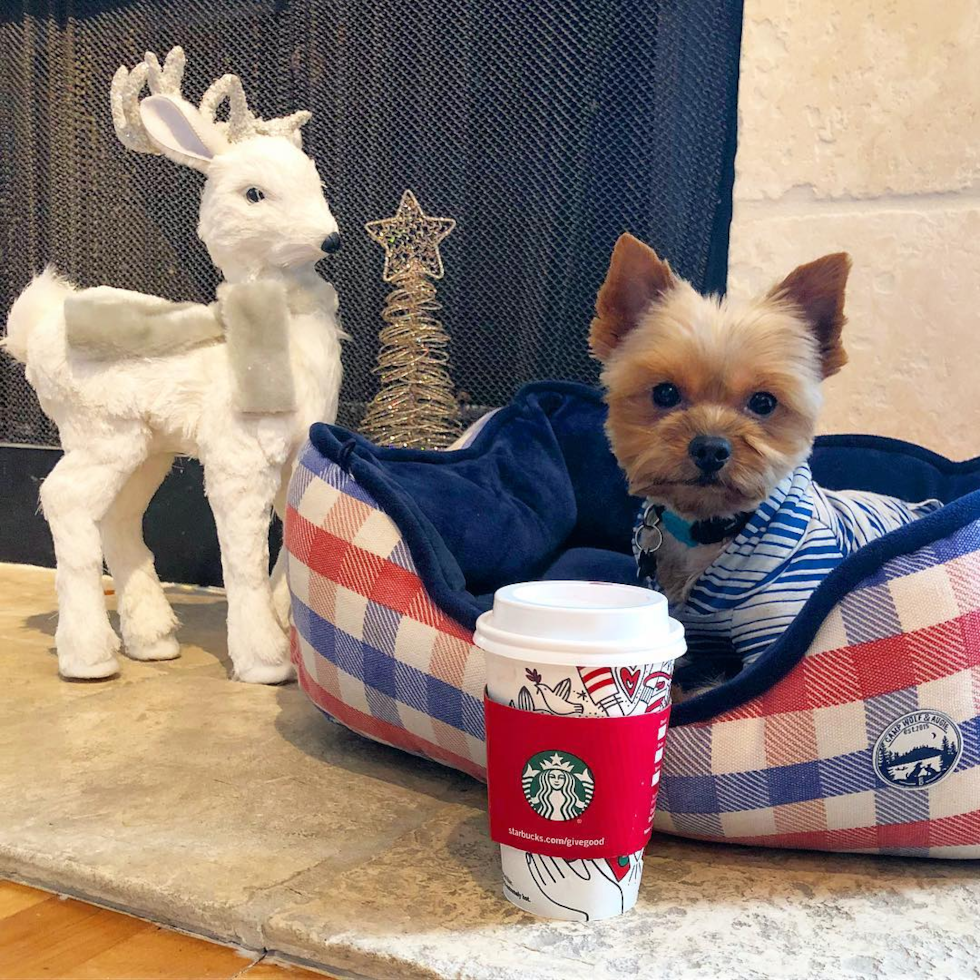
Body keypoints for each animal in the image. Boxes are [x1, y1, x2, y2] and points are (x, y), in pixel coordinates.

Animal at [592, 234, 936, 688]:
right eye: (664, 393)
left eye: (764, 402)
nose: (711, 448)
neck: (708, 530)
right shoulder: (687, 631)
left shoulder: (775, 627)